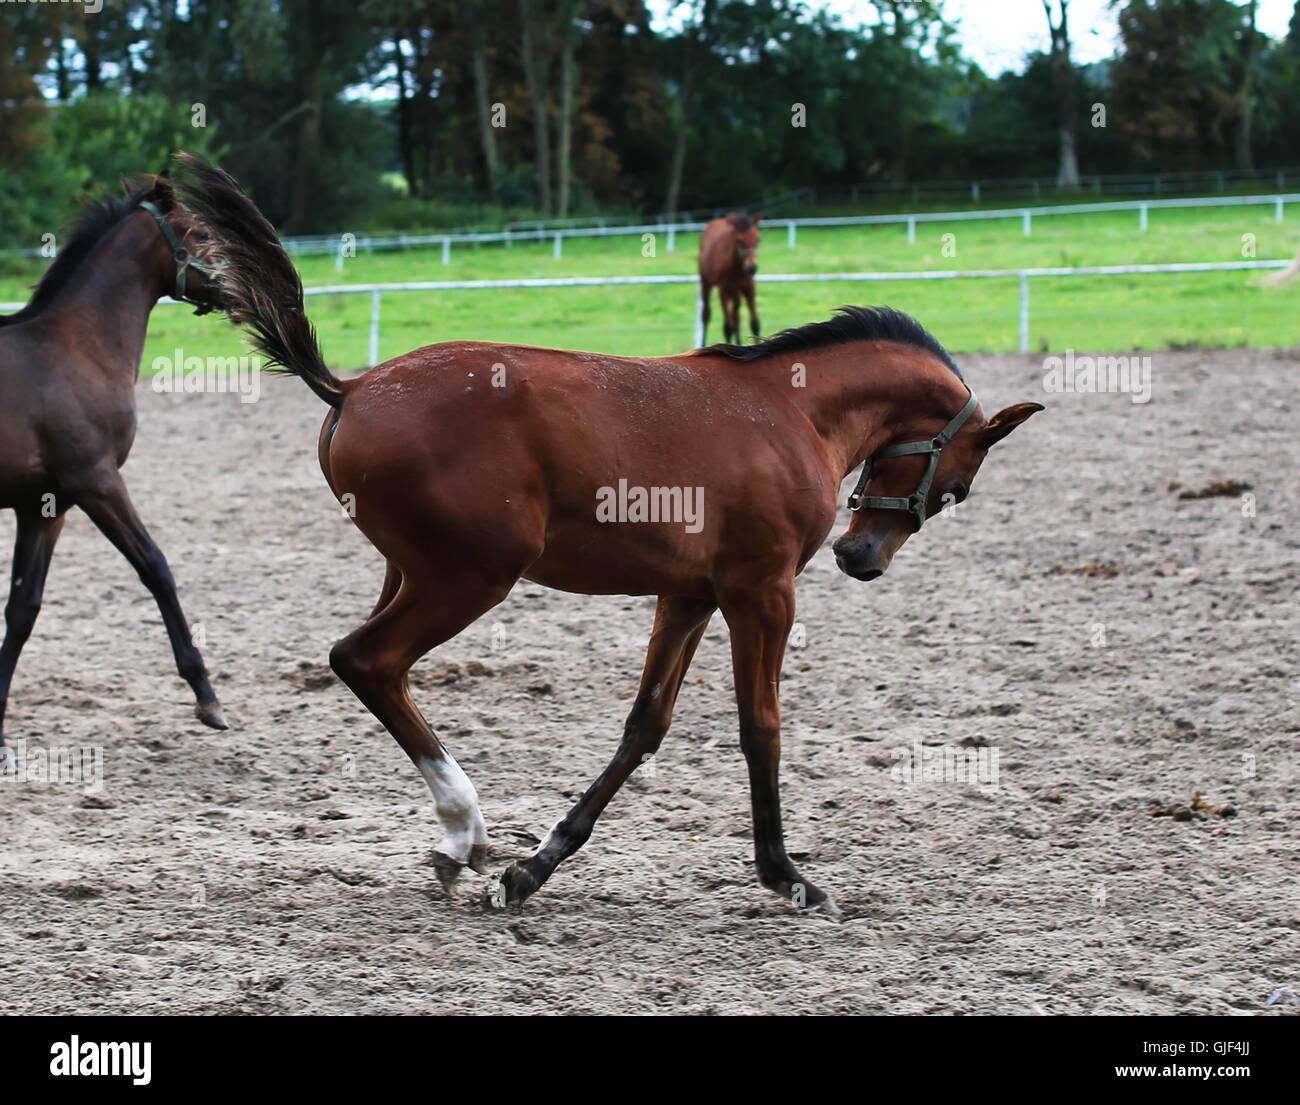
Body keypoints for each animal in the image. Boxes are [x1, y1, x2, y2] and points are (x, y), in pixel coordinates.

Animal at [0, 165, 228, 748]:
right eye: (199, 232)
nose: (239, 288)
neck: (76, 347)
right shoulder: (97, 483)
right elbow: (156, 568)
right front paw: (207, 696)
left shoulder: (44, 507)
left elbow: (22, 610)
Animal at [702, 209, 759, 340]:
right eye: (739, 240)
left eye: (758, 239)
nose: (752, 268)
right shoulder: (723, 288)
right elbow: (727, 327)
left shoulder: (749, 287)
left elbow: (755, 324)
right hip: (706, 283)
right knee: (706, 315)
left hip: (735, 292)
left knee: (736, 318)